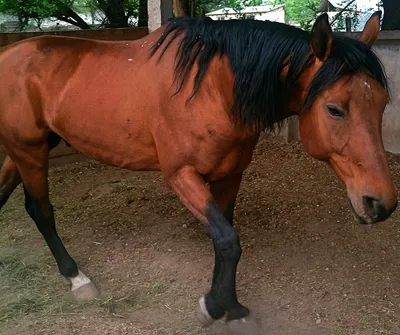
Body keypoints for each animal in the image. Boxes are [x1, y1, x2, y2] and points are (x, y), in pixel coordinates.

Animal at [0, 11, 396, 326]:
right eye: (334, 109)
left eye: (381, 103)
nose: (381, 203)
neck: (212, 88)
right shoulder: (181, 175)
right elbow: (228, 240)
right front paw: (213, 306)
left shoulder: (231, 174)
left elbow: (225, 240)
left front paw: (231, 308)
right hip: (29, 150)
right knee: (41, 210)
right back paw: (76, 277)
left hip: (27, 149)